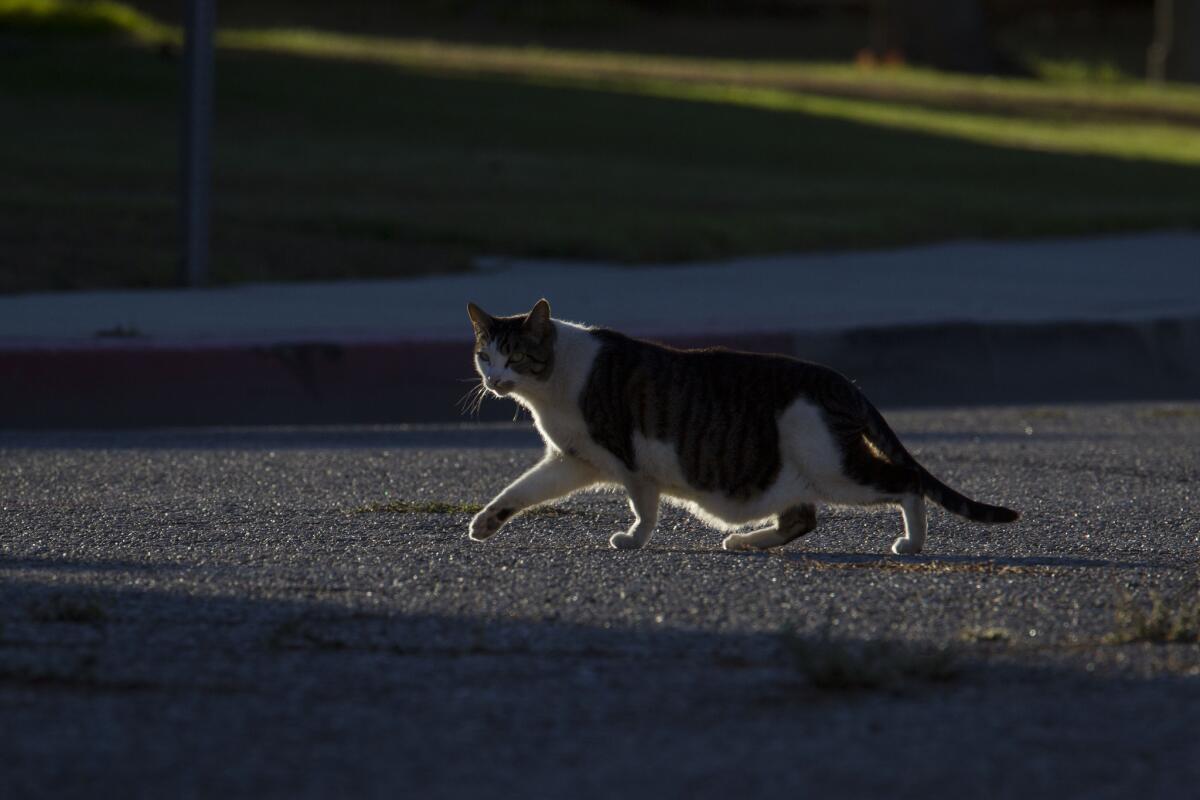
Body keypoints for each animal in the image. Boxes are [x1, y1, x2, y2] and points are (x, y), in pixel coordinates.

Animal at [463, 297, 1017, 554]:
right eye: (485, 355)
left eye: (516, 356)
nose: (494, 380)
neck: (551, 387)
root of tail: (842, 381)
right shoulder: (574, 459)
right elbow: (523, 488)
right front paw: (486, 522)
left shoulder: (628, 457)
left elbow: (644, 505)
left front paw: (634, 538)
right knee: (802, 518)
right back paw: (747, 541)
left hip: (834, 467)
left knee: (906, 483)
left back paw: (912, 544)